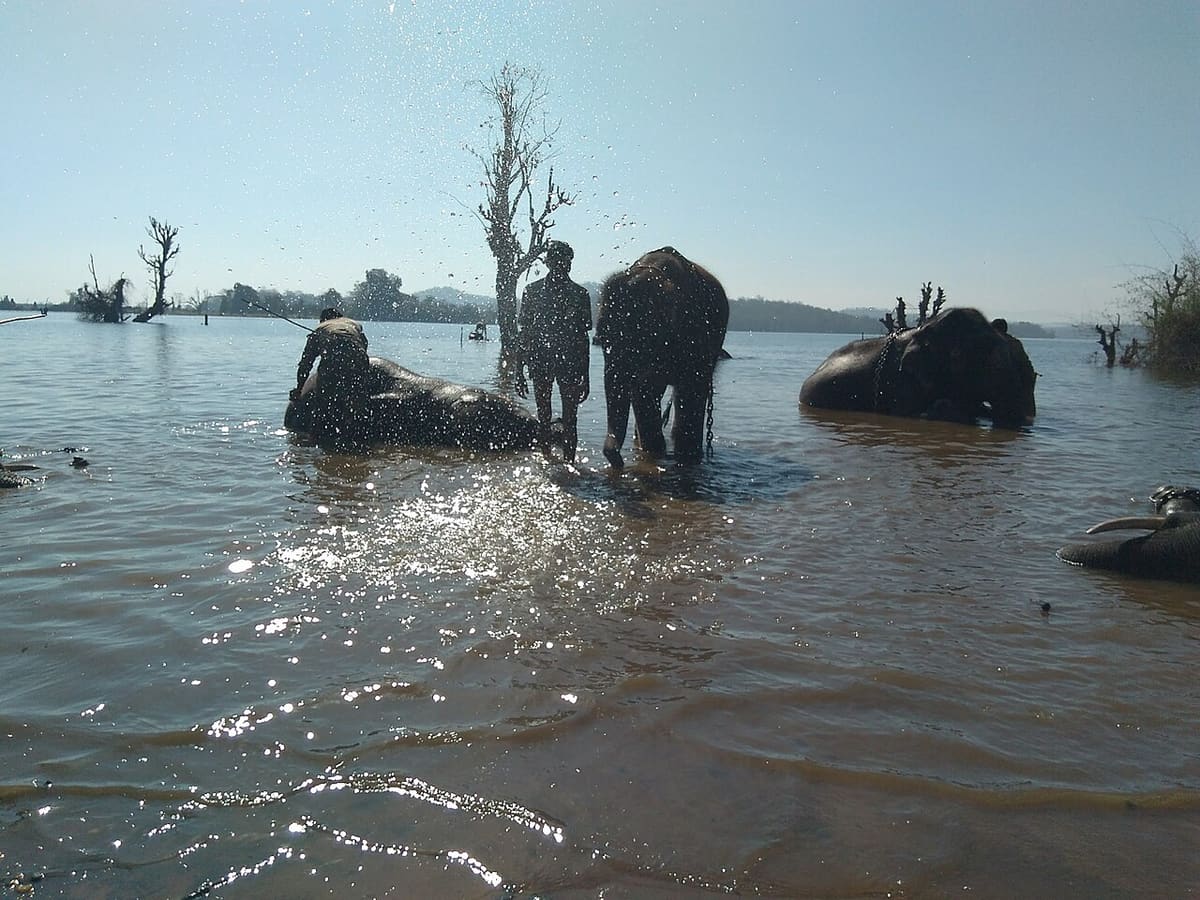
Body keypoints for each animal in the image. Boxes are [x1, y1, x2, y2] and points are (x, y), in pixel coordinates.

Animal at [593, 247, 730, 467]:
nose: (617, 460)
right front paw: (653, 453)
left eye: (640, 340)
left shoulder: (695, 335)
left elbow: (690, 392)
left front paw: (686, 456)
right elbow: (643, 393)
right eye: (601, 341)